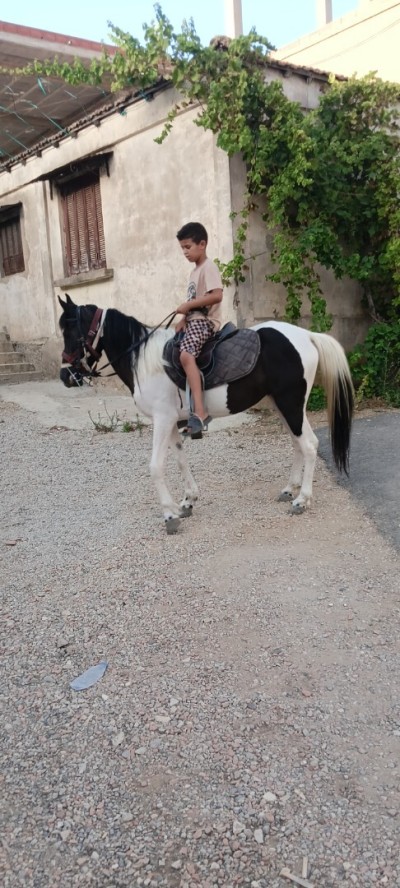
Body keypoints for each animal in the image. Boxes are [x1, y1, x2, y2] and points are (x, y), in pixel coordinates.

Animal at [58, 294, 354, 533]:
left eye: (70, 330)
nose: (65, 376)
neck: (143, 361)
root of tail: (307, 335)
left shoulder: (162, 419)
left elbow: (156, 466)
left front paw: (169, 516)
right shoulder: (172, 422)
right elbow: (180, 460)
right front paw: (187, 502)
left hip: (290, 403)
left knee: (309, 445)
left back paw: (302, 500)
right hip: (281, 404)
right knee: (298, 444)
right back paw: (289, 490)